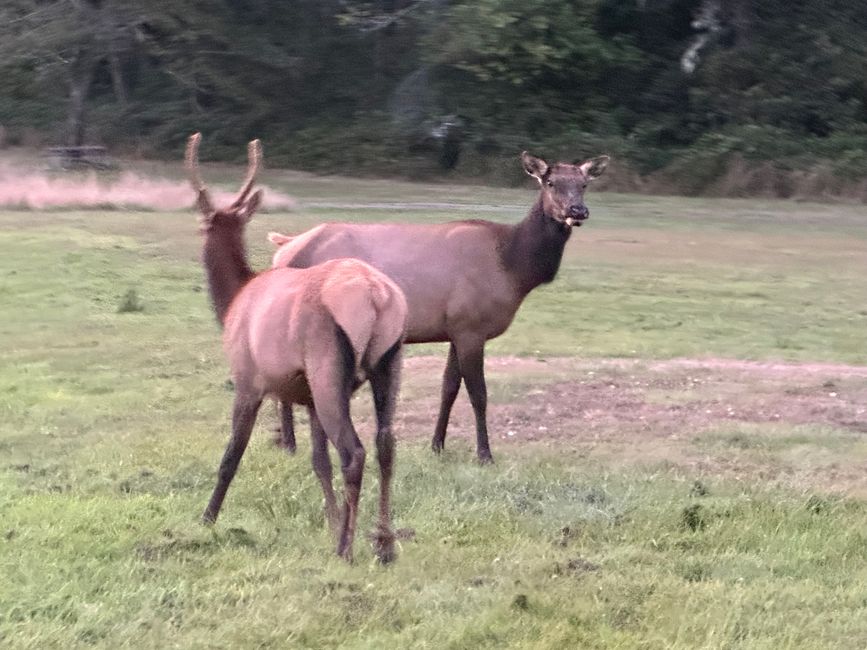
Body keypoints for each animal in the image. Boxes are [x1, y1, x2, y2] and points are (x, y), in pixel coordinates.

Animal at [188, 134, 408, 560]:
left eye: (203, 225)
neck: (233, 301)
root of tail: (376, 296)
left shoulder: (248, 379)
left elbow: (231, 454)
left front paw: (207, 517)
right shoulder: (304, 395)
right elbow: (318, 459)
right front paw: (333, 518)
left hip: (327, 364)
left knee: (354, 452)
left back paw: (346, 549)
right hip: (389, 360)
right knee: (386, 443)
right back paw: (384, 543)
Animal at [272, 151, 612, 466]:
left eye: (584, 184)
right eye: (551, 182)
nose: (577, 210)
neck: (514, 268)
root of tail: (283, 250)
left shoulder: (456, 328)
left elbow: (448, 387)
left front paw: (437, 445)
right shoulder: (472, 326)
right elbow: (478, 393)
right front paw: (484, 454)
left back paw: (287, 441)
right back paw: (290, 444)